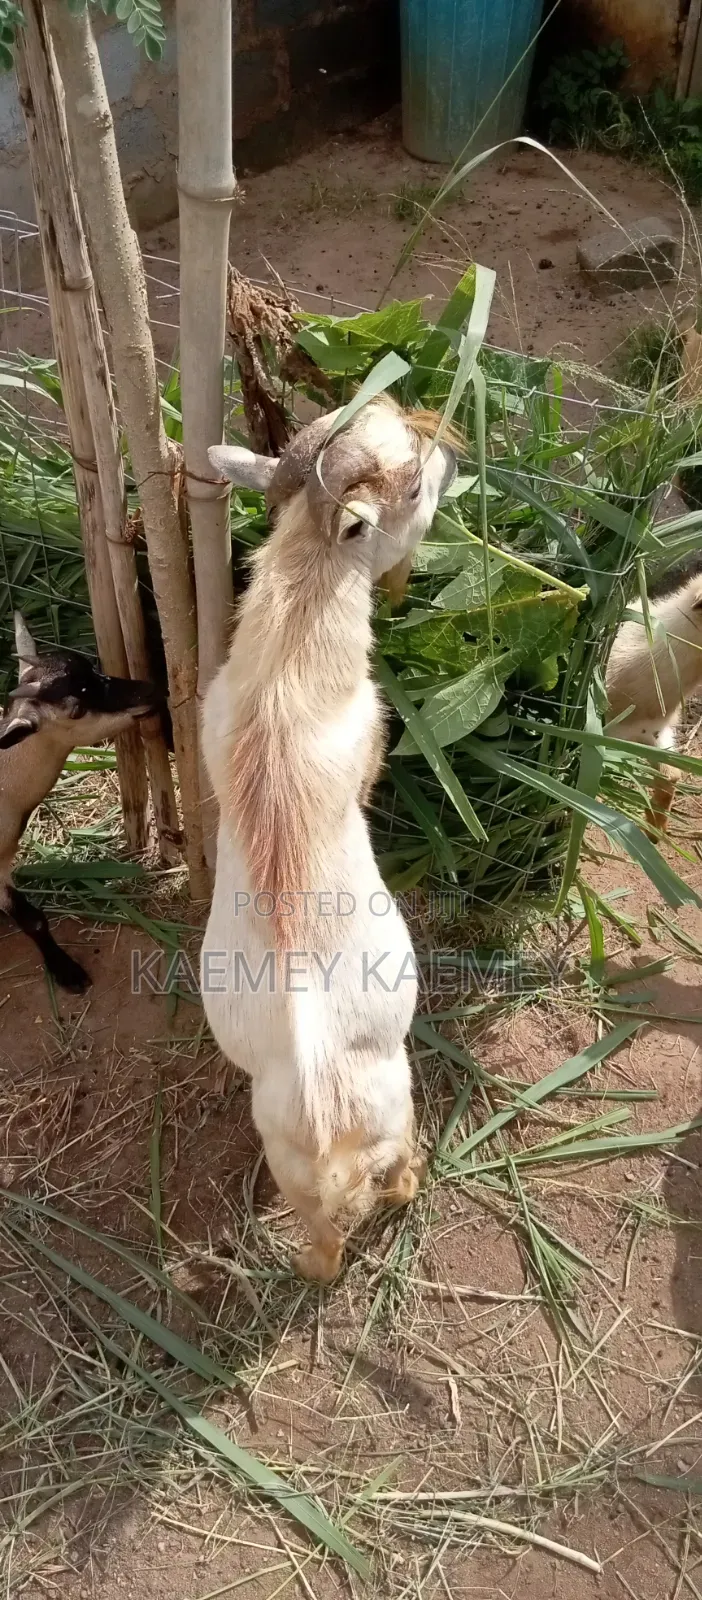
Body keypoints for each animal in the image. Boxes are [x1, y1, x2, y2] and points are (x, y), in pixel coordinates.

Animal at [201, 399, 457, 1282]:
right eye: (410, 484)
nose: (448, 445)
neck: (287, 667)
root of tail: (322, 1116)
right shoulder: (369, 733)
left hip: (286, 1160)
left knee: (321, 1242)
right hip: (396, 1109)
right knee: (399, 1174)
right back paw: (410, 1188)